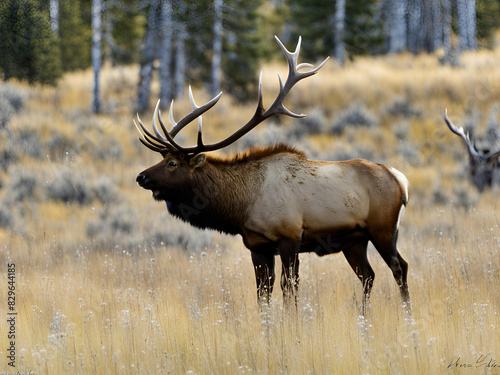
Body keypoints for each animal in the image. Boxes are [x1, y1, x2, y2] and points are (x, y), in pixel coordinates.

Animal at [134, 36, 410, 312]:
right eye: (162, 160)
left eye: (172, 163)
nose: (141, 177)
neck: (240, 205)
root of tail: (400, 180)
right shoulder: (257, 245)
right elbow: (262, 292)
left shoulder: (289, 237)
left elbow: (289, 288)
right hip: (354, 240)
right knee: (368, 275)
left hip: (383, 229)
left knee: (400, 267)